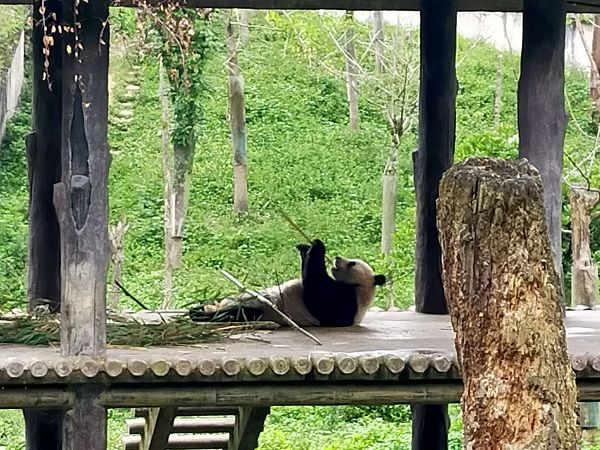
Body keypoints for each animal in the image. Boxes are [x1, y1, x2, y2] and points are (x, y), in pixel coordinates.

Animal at [192, 239, 390, 326]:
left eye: (352, 263)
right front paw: (305, 248)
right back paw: (199, 307)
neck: (362, 289)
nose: (337, 258)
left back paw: (200, 314)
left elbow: (316, 290)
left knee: (237, 313)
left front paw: (317, 246)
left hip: (265, 311)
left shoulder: (346, 302)